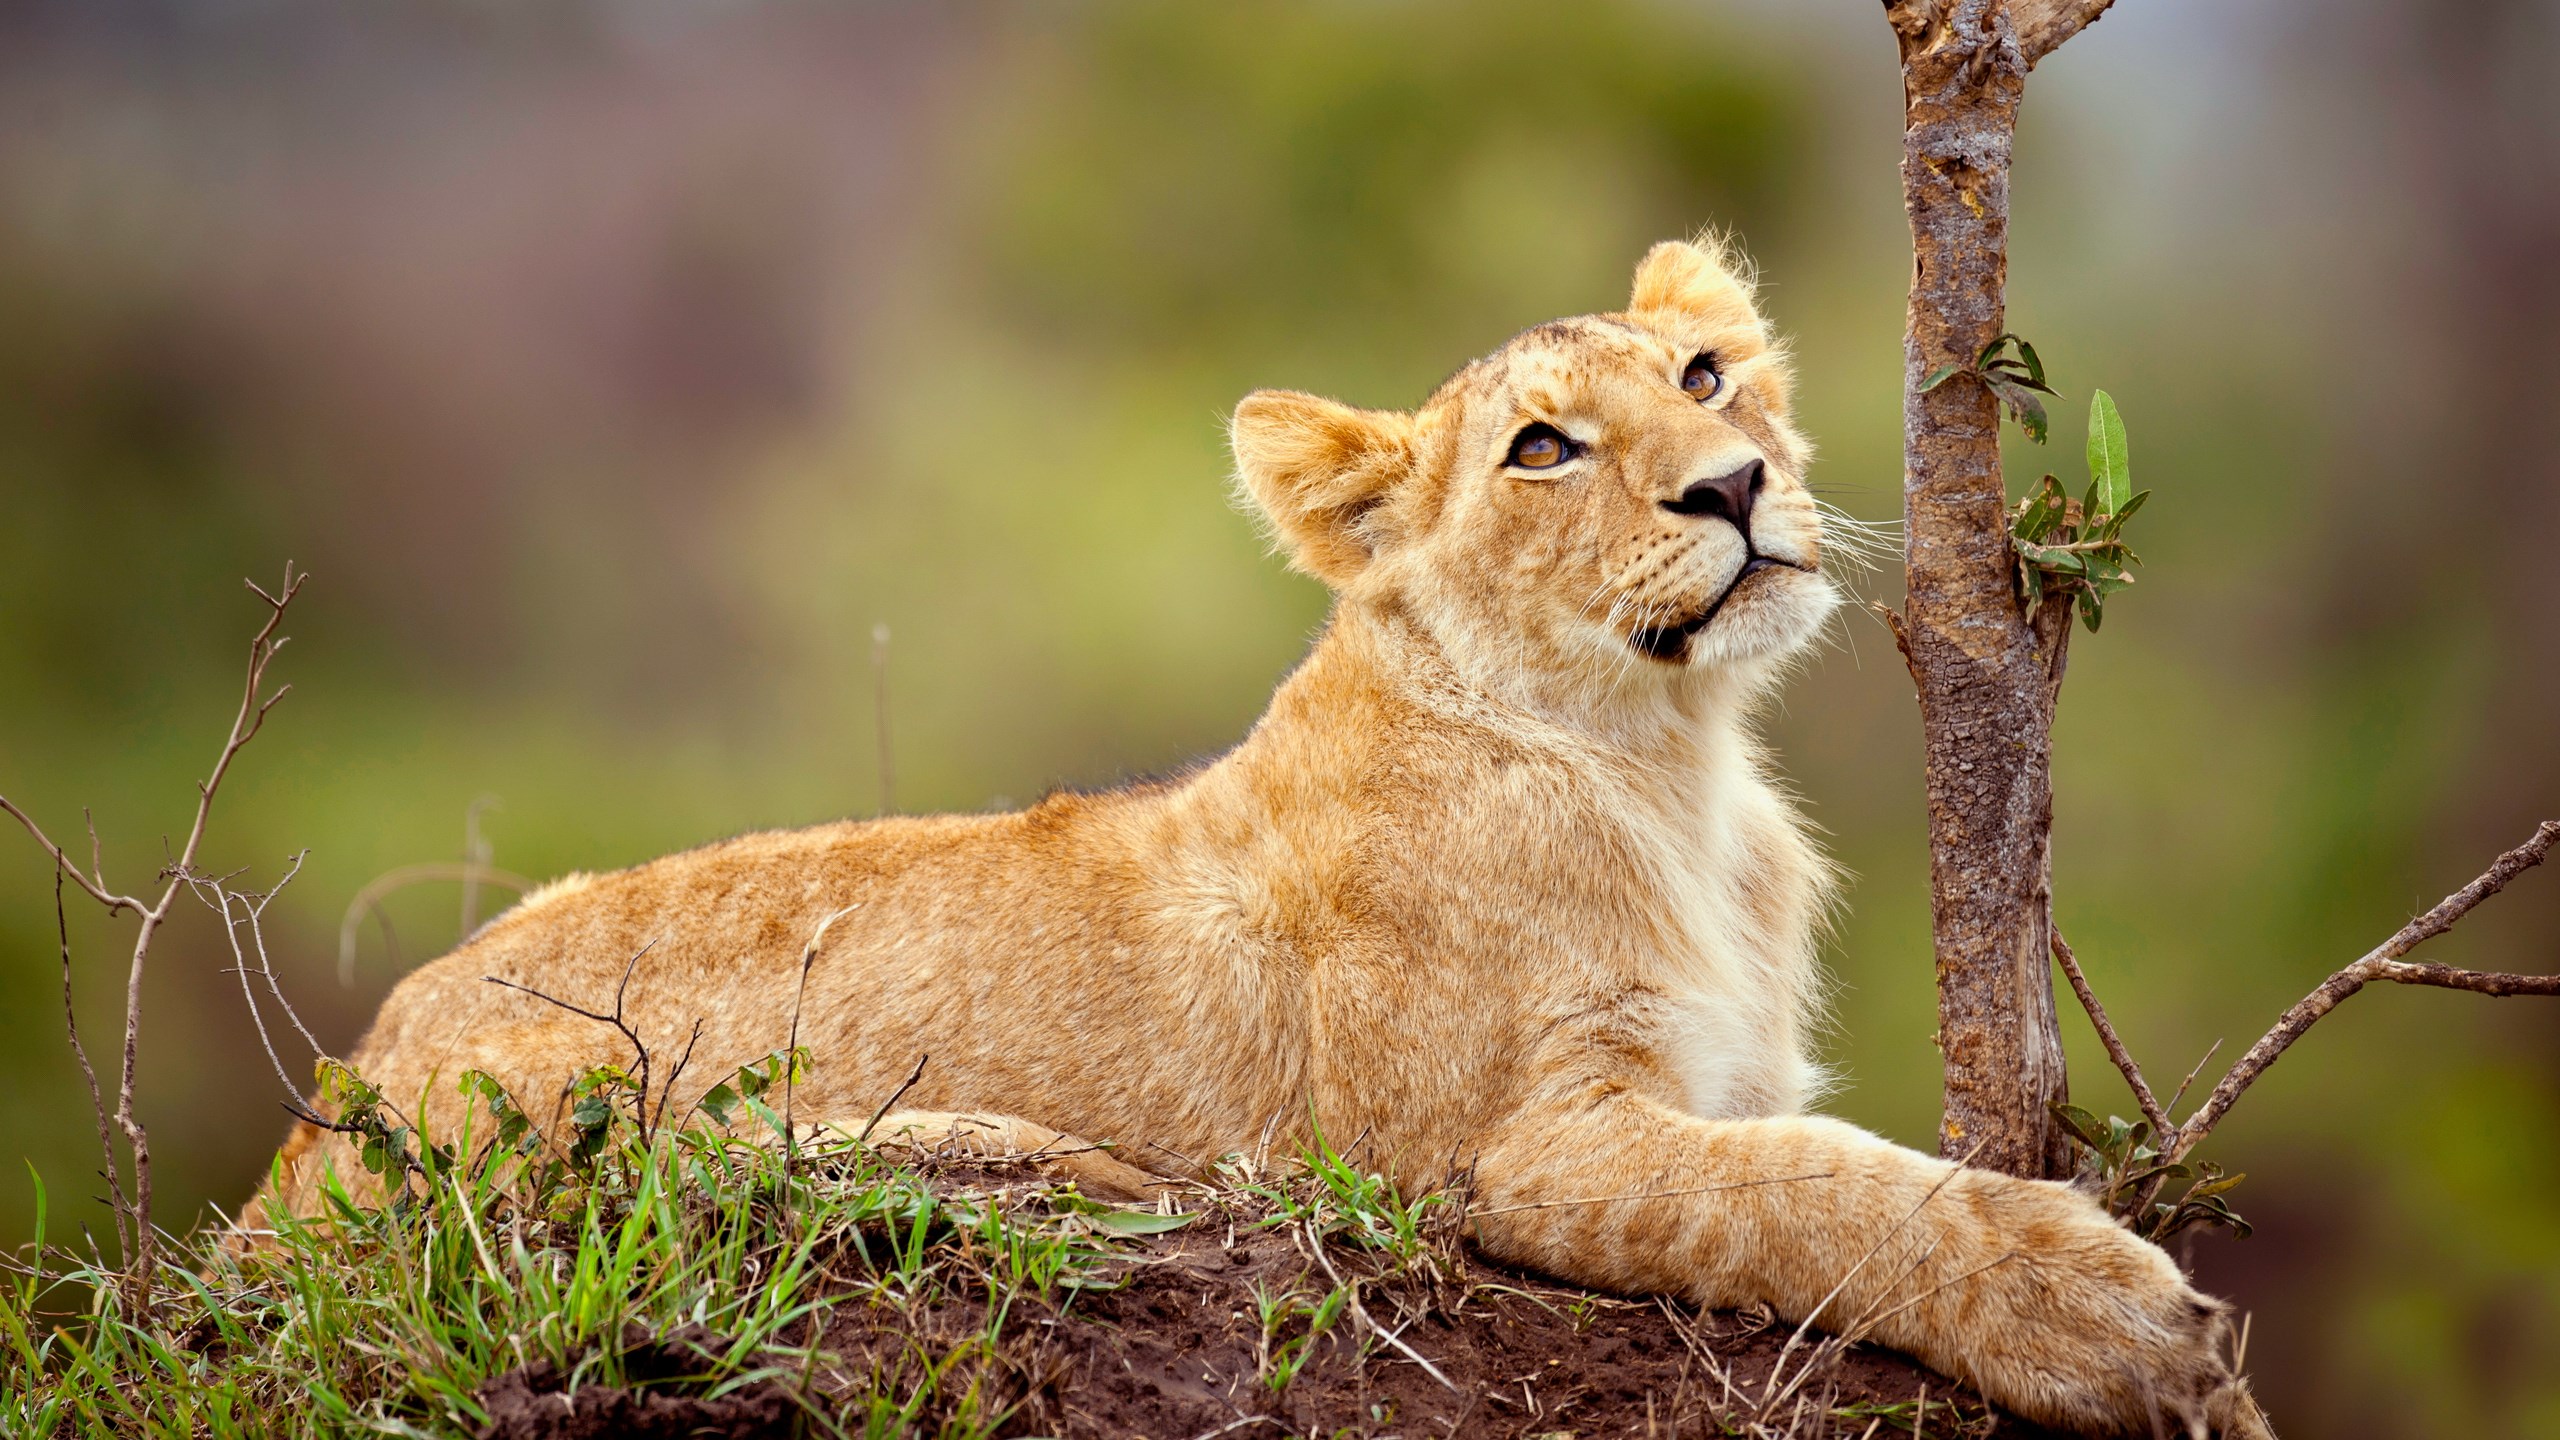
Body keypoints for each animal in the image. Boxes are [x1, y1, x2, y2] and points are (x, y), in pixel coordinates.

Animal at [251, 239, 2266, 1437]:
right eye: (1542, 450)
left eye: (1703, 379)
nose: (1738, 486)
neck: (1670, 761)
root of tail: (304, 1139)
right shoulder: (1493, 1153)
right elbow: (1816, 1194)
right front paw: (2117, 1326)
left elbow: (1811, 1161)